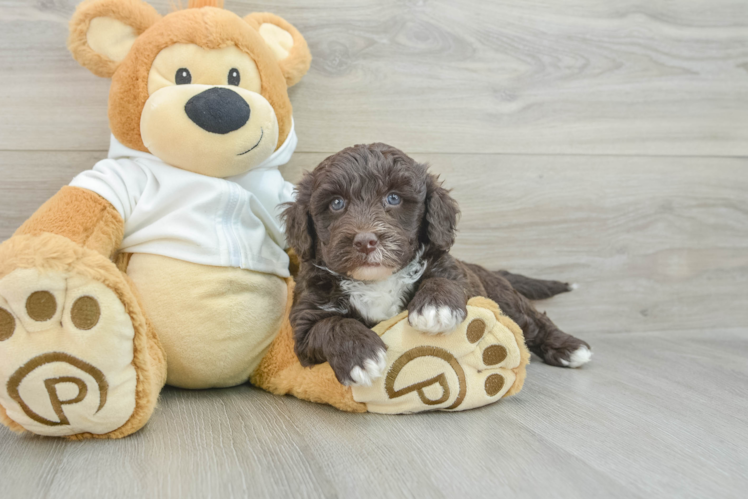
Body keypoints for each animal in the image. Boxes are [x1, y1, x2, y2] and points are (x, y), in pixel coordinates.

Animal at [280, 143, 592, 384]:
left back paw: (570, 349)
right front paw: (362, 356)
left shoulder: (453, 270)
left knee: (534, 320)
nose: (366, 241)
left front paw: (436, 307)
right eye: (336, 203)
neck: (377, 280)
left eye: (393, 198)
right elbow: (330, 324)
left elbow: (442, 279)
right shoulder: (305, 323)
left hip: (503, 296)